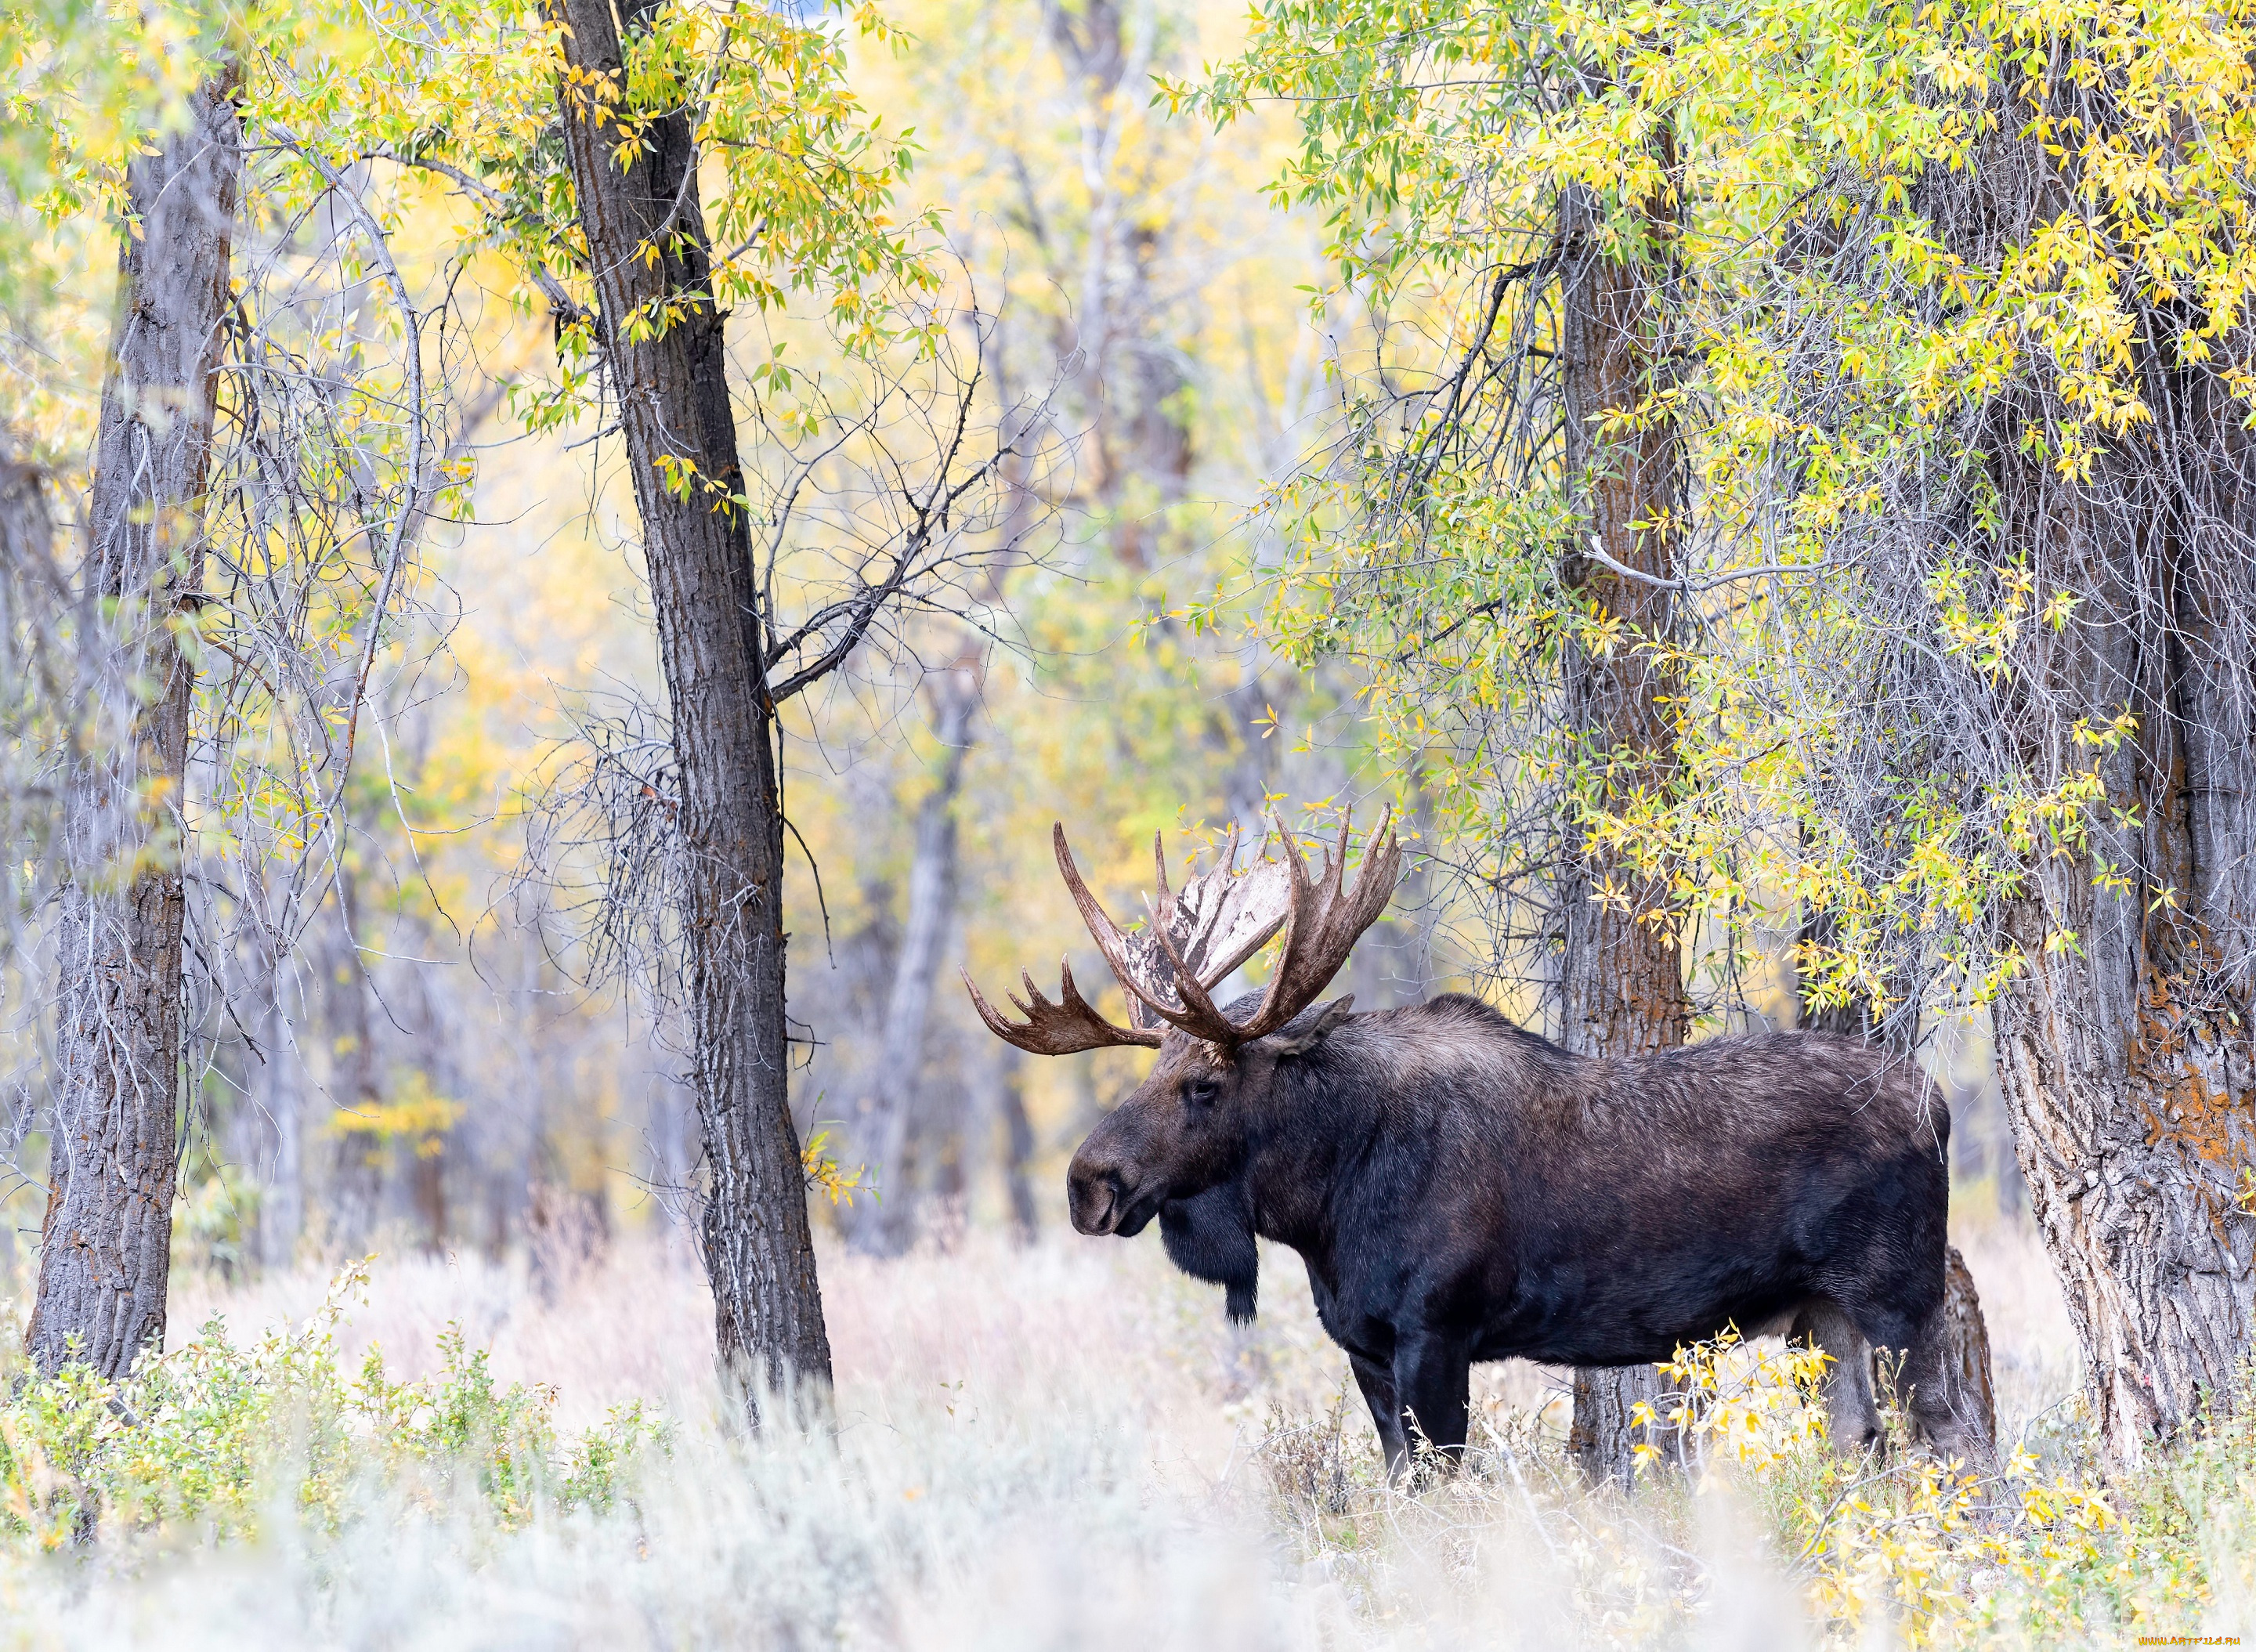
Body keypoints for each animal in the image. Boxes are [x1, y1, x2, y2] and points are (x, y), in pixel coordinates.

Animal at [960, 812, 1985, 1471]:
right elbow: (1401, 1483)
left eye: (1204, 1083)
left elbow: (1450, 1482)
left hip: (1896, 1297)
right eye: (1151, 1070)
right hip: (1824, 1313)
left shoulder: (1438, 1333)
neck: (1322, 1209)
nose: (1088, 1184)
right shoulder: (1366, 1347)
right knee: (1862, 1441)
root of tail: (1938, 1104)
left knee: (1951, 1438)